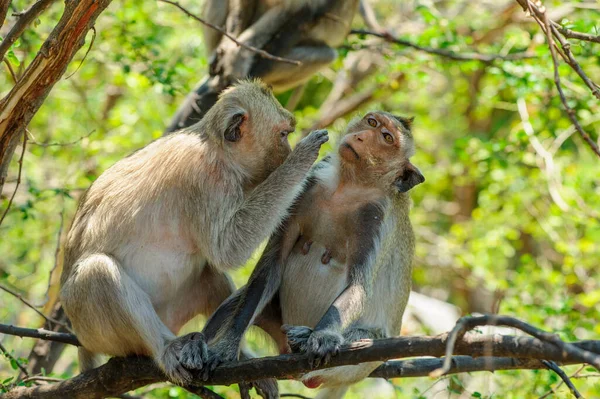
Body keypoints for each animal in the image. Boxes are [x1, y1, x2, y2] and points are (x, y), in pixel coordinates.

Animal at [61, 80, 328, 388]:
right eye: (284, 134)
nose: (287, 152)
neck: (215, 146)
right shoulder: (206, 176)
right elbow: (228, 249)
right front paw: (304, 159)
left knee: (210, 274)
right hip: (93, 328)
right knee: (97, 271)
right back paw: (167, 348)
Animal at [200, 111, 422, 398]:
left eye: (387, 138)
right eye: (372, 123)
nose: (361, 137)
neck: (347, 186)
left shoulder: (376, 216)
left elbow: (358, 285)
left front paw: (322, 336)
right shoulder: (309, 183)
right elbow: (271, 265)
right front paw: (225, 346)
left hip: (364, 362)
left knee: (362, 342)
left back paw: (304, 340)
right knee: (235, 302)